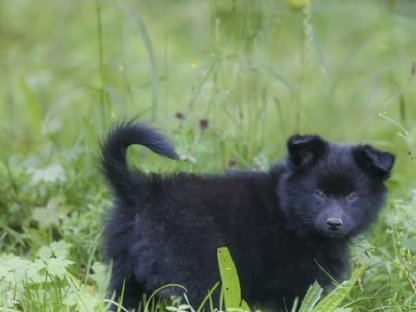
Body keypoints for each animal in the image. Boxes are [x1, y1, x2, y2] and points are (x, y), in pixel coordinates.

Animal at [100, 122, 394, 310]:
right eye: (319, 194)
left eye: (352, 196)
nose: (334, 223)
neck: (289, 211)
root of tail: (142, 190)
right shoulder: (293, 287)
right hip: (198, 278)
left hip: (126, 274)